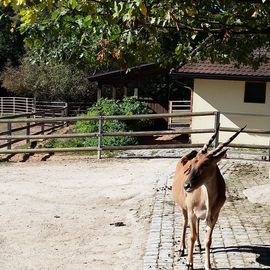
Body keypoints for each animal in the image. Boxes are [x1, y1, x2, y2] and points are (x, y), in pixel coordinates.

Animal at [173, 126, 245, 270]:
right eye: (193, 164)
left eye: (206, 164)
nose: (186, 186)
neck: (206, 199)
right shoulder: (191, 212)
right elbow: (192, 236)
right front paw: (189, 263)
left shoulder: (213, 216)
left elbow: (208, 240)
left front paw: (208, 265)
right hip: (184, 208)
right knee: (184, 223)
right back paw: (181, 249)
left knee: (197, 226)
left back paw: (198, 246)